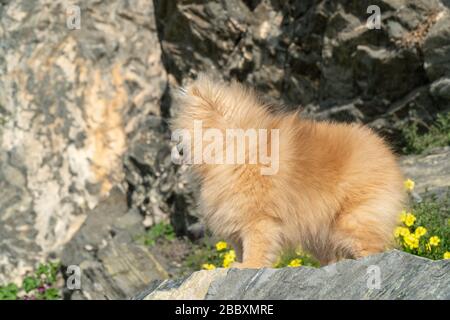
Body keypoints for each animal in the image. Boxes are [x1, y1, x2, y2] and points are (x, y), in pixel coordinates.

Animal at [171, 75, 406, 268]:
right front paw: (237, 264)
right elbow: (240, 248)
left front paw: (247, 266)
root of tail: (385, 152)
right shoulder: (235, 219)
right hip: (321, 232)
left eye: (186, 128)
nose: (177, 147)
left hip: (352, 219)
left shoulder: (259, 219)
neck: (237, 149)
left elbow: (255, 248)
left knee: (370, 247)